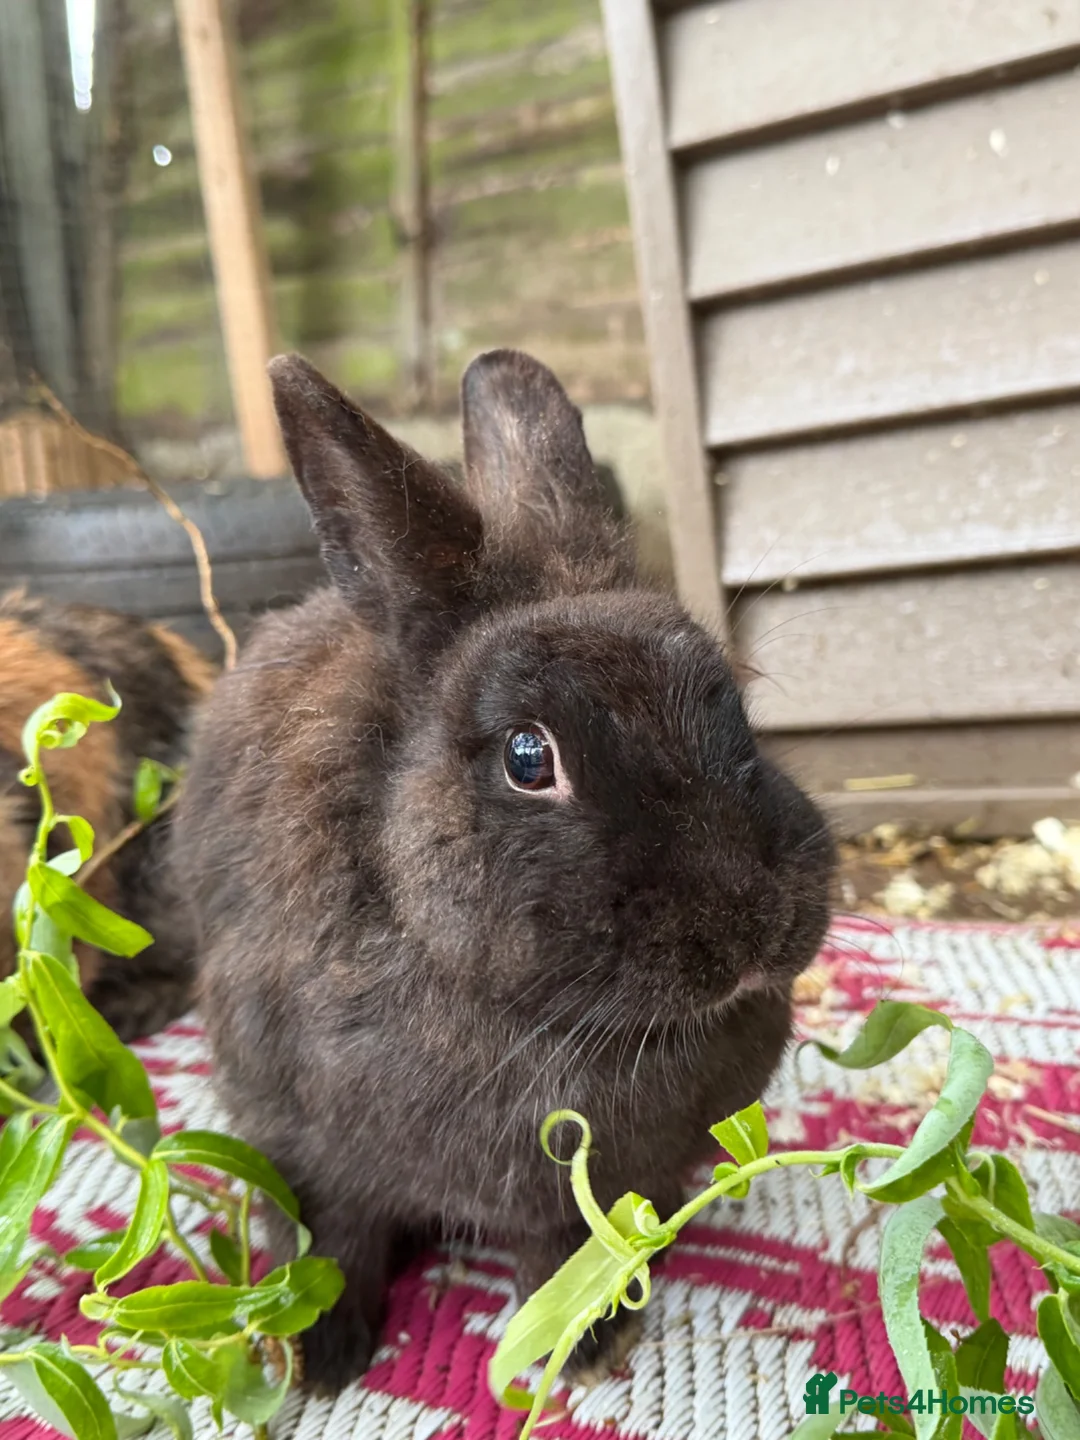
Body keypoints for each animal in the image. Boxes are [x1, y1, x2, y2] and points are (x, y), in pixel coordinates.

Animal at [171, 349, 835, 1396]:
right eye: (530, 757)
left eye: (734, 705)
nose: (754, 930)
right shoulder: (302, 1147)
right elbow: (331, 1244)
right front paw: (317, 1360)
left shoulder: (582, 1194)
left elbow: (560, 1251)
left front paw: (584, 1343)